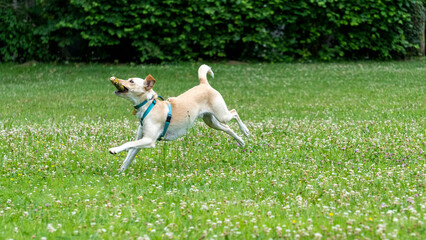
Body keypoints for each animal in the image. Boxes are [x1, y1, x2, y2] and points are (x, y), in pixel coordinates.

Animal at [109, 64, 250, 172]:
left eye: (131, 81)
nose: (115, 79)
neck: (148, 105)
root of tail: (204, 84)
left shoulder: (149, 140)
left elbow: (128, 144)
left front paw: (114, 149)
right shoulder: (141, 139)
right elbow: (129, 156)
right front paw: (120, 173)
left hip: (221, 115)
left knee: (234, 112)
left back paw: (245, 131)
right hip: (211, 121)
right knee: (228, 128)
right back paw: (241, 141)